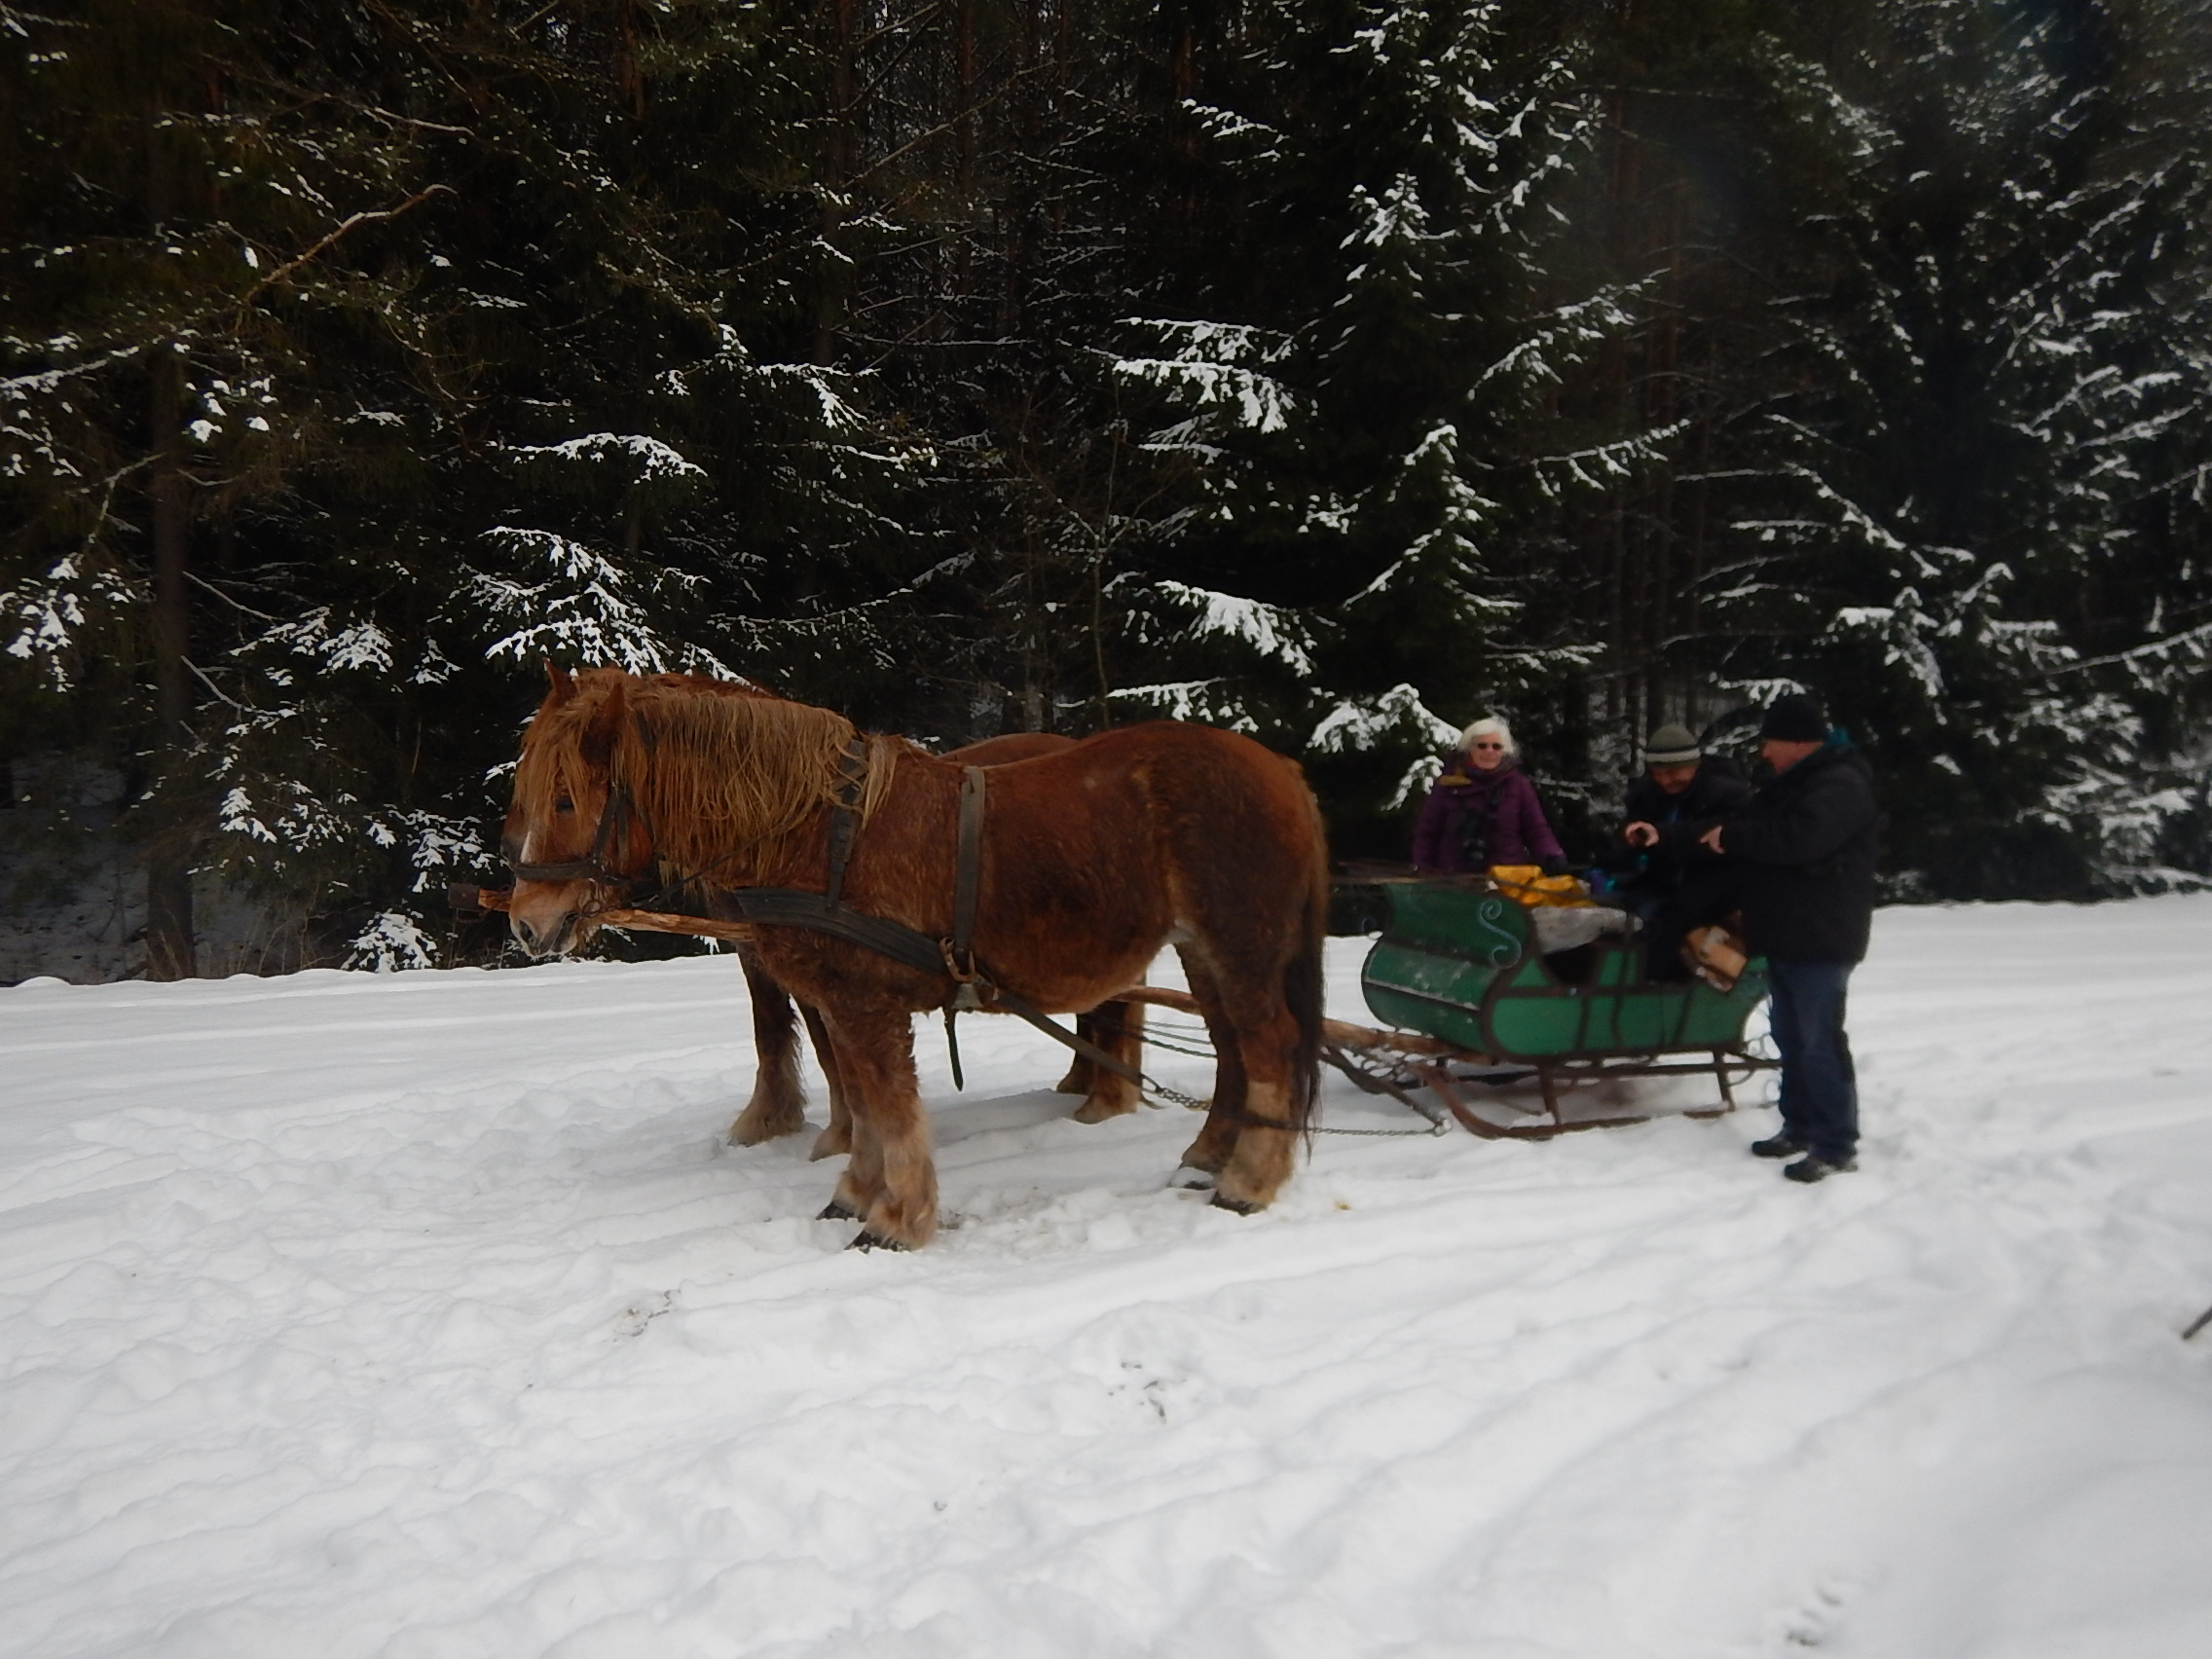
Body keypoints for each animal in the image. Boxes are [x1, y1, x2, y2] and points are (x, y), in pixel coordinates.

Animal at [501, 666, 1330, 1250]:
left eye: (568, 798)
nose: (527, 925)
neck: (818, 832)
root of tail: (1282, 770)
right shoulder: (841, 1002)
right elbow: (865, 1106)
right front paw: (853, 1194)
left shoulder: (867, 1005)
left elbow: (891, 1112)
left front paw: (896, 1220)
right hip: (1204, 953)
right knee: (1233, 1053)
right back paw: (1205, 1158)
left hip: (1242, 944)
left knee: (1269, 1049)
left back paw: (1248, 1181)